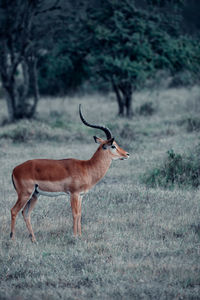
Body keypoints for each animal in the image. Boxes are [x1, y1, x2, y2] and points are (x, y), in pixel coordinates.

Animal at [10, 105, 130, 241]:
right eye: (113, 145)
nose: (127, 154)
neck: (87, 167)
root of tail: (15, 169)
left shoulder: (81, 196)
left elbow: (80, 214)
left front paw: (80, 235)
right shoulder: (73, 194)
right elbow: (75, 214)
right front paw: (75, 236)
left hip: (35, 195)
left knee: (25, 213)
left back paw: (34, 240)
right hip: (25, 194)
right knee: (14, 211)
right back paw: (12, 239)